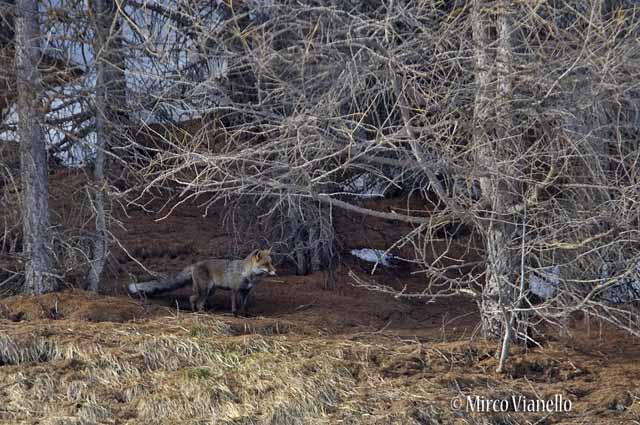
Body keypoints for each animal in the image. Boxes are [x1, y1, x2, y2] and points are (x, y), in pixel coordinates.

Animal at [128, 249, 276, 316]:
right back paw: (200, 313)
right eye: (266, 264)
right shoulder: (234, 290)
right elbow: (234, 305)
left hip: (210, 291)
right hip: (204, 290)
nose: (275, 271)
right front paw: (235, 314)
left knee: (195, 299)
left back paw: (200, 311)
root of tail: (194, 264)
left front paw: (245, 314)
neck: (247, 274)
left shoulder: (245, 292)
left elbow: (244, 305)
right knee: (194, 299)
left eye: (271, 263)